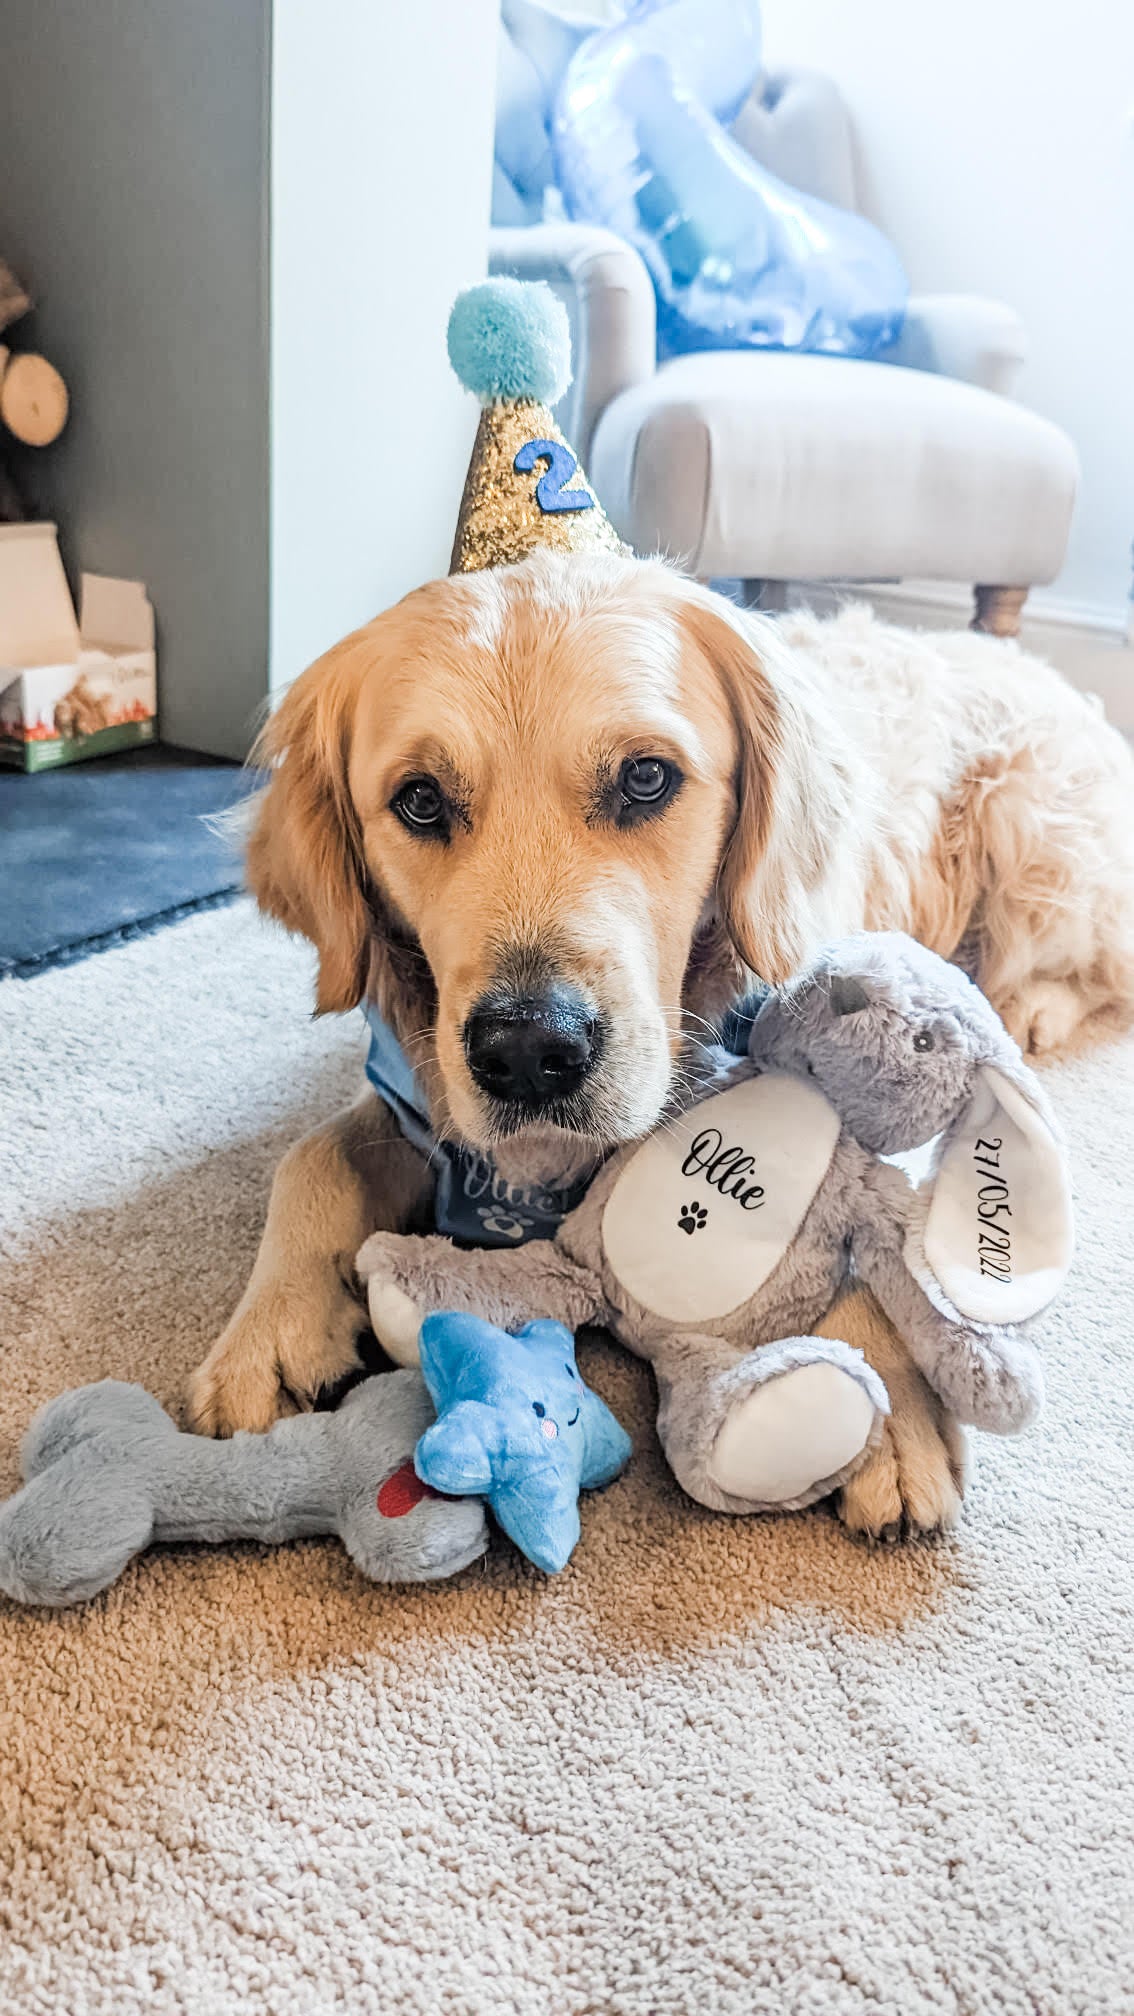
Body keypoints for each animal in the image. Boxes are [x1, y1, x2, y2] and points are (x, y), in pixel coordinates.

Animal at [189, 552, 1129, 1524]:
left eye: (645, 779)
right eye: (419, 800)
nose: (529, 1054)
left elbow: (882, 1236)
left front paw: (896, 1425)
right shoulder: (412, 1089)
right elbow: (310, 1158)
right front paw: (267, 1331)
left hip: (1036, 840)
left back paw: (1034, 1008)